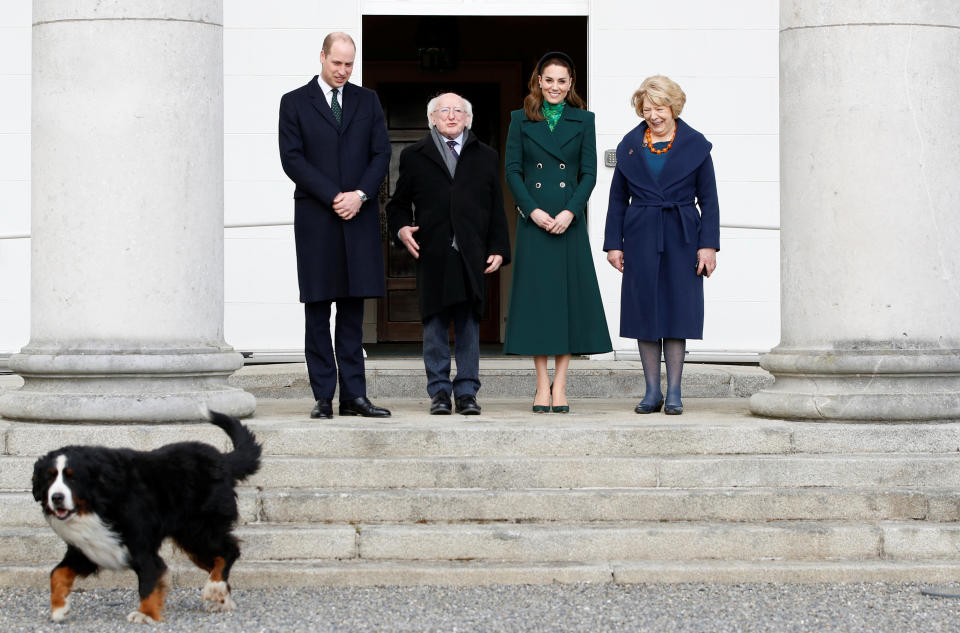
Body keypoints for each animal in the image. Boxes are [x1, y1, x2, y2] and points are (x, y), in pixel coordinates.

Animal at [30, 410, 262, 624]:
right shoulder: (90, 548)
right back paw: (221, 598)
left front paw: (146, 614)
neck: (98, 503)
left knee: (228, 552)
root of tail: (222, 459)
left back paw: (215, 588)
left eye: (72, 478)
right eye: (50, 478)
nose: (56, 497)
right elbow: (57, 573)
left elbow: (148, 582)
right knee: (216, 560)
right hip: (193, 540)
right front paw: (60, 608)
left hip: (199, 531)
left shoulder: (140, 546)